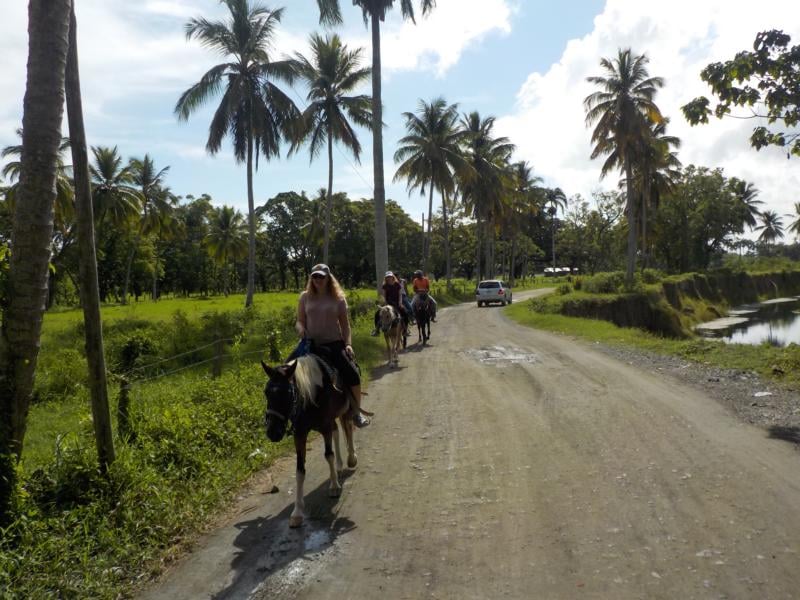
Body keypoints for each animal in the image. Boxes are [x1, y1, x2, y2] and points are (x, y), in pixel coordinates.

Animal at [262, 354, 358, 528]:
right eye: (266, 392)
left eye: (287, 392)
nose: (273, 433)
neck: (311, 394)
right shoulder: (300, 433)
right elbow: (300, 470)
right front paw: (297, 512)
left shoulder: (325, 426)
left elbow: (328, 455)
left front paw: (334, 486)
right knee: (337, 432)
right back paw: (339, 466)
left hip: (346, 409)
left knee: (348, 428)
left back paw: (351, 458)